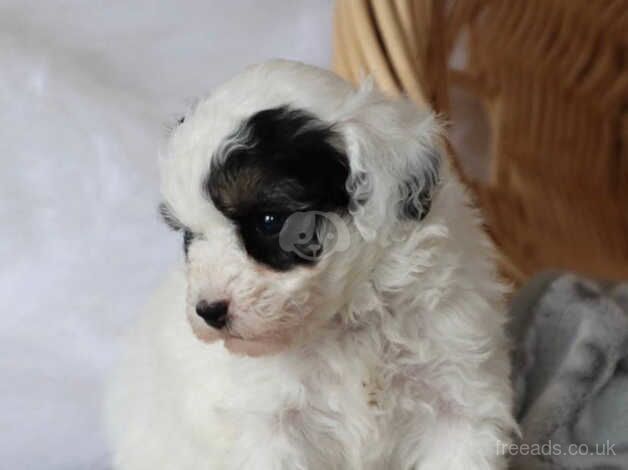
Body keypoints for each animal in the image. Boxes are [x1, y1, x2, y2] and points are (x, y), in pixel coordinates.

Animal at [104, 59, 516, 470]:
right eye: (189, 236)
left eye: (270, 221)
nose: (208, 311)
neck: (348, 323)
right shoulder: (270, 424)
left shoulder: (458, 400)